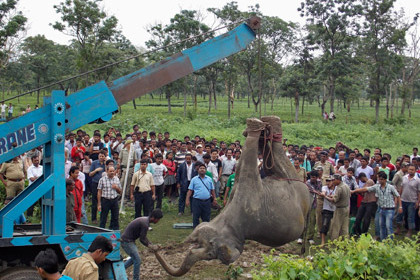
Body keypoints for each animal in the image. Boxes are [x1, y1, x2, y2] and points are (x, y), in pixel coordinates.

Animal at [155, 115, 312, 276]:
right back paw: (269, 125)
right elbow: (246, 161)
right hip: (295, 184)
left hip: (297, 186)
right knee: (277, 157)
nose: (156, 249)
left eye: (208, 250)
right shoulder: (246, 193)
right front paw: (255, 128)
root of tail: (308, 190)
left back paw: (268, 124)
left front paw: (252, 127)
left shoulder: (247, 193)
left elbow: (245, 159)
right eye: (210, 255)